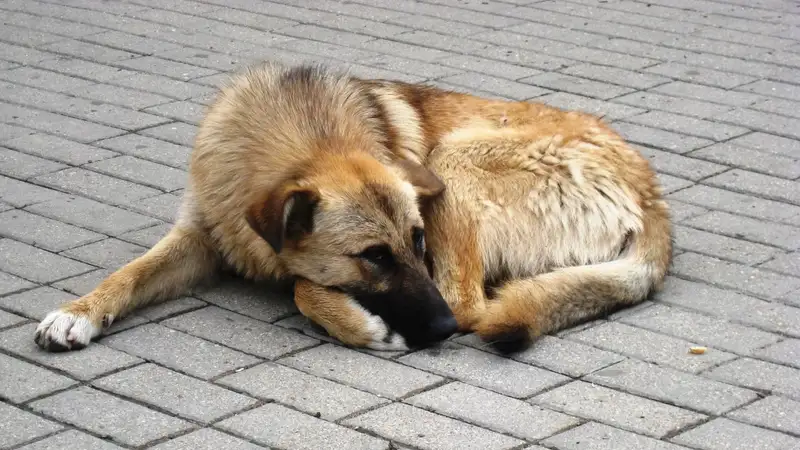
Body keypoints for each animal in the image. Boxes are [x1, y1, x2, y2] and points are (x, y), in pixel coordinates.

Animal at [34, 61, 672, 354]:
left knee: (470, 303)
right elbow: (129, 273)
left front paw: (359, 323)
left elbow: (300, 285)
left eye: (417, 241)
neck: (300, 134)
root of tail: (651, 197)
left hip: (453, 163)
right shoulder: (198, 235)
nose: (438, 330)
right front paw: (79, 311)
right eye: (374, 257)